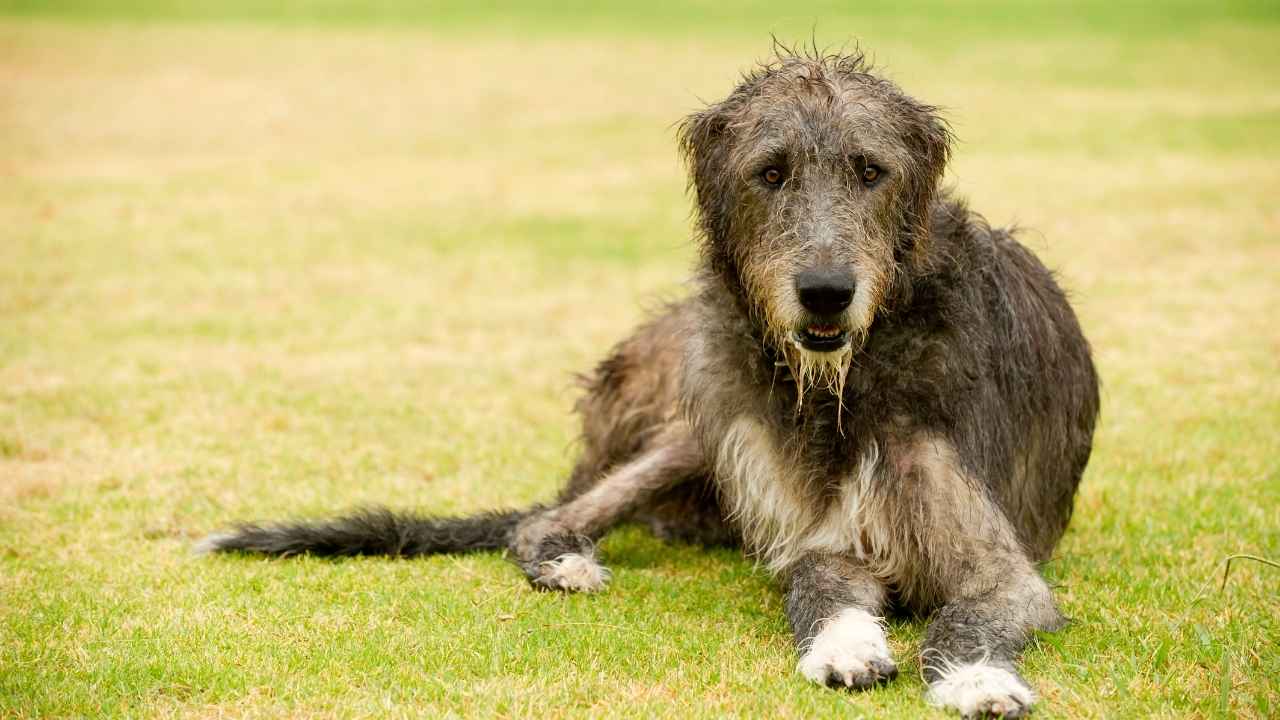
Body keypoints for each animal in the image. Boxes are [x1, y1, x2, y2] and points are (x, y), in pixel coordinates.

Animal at [199, 47, 1100, 712]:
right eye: (771, 172)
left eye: (870, 169)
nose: (825, 291)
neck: (838, 385)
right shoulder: (817, 534)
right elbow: (816, 584)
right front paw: (845, 648)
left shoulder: (994, 558)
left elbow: (970, 610)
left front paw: (977, 681)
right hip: (696, 422)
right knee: (544, 520)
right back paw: (566, 560)